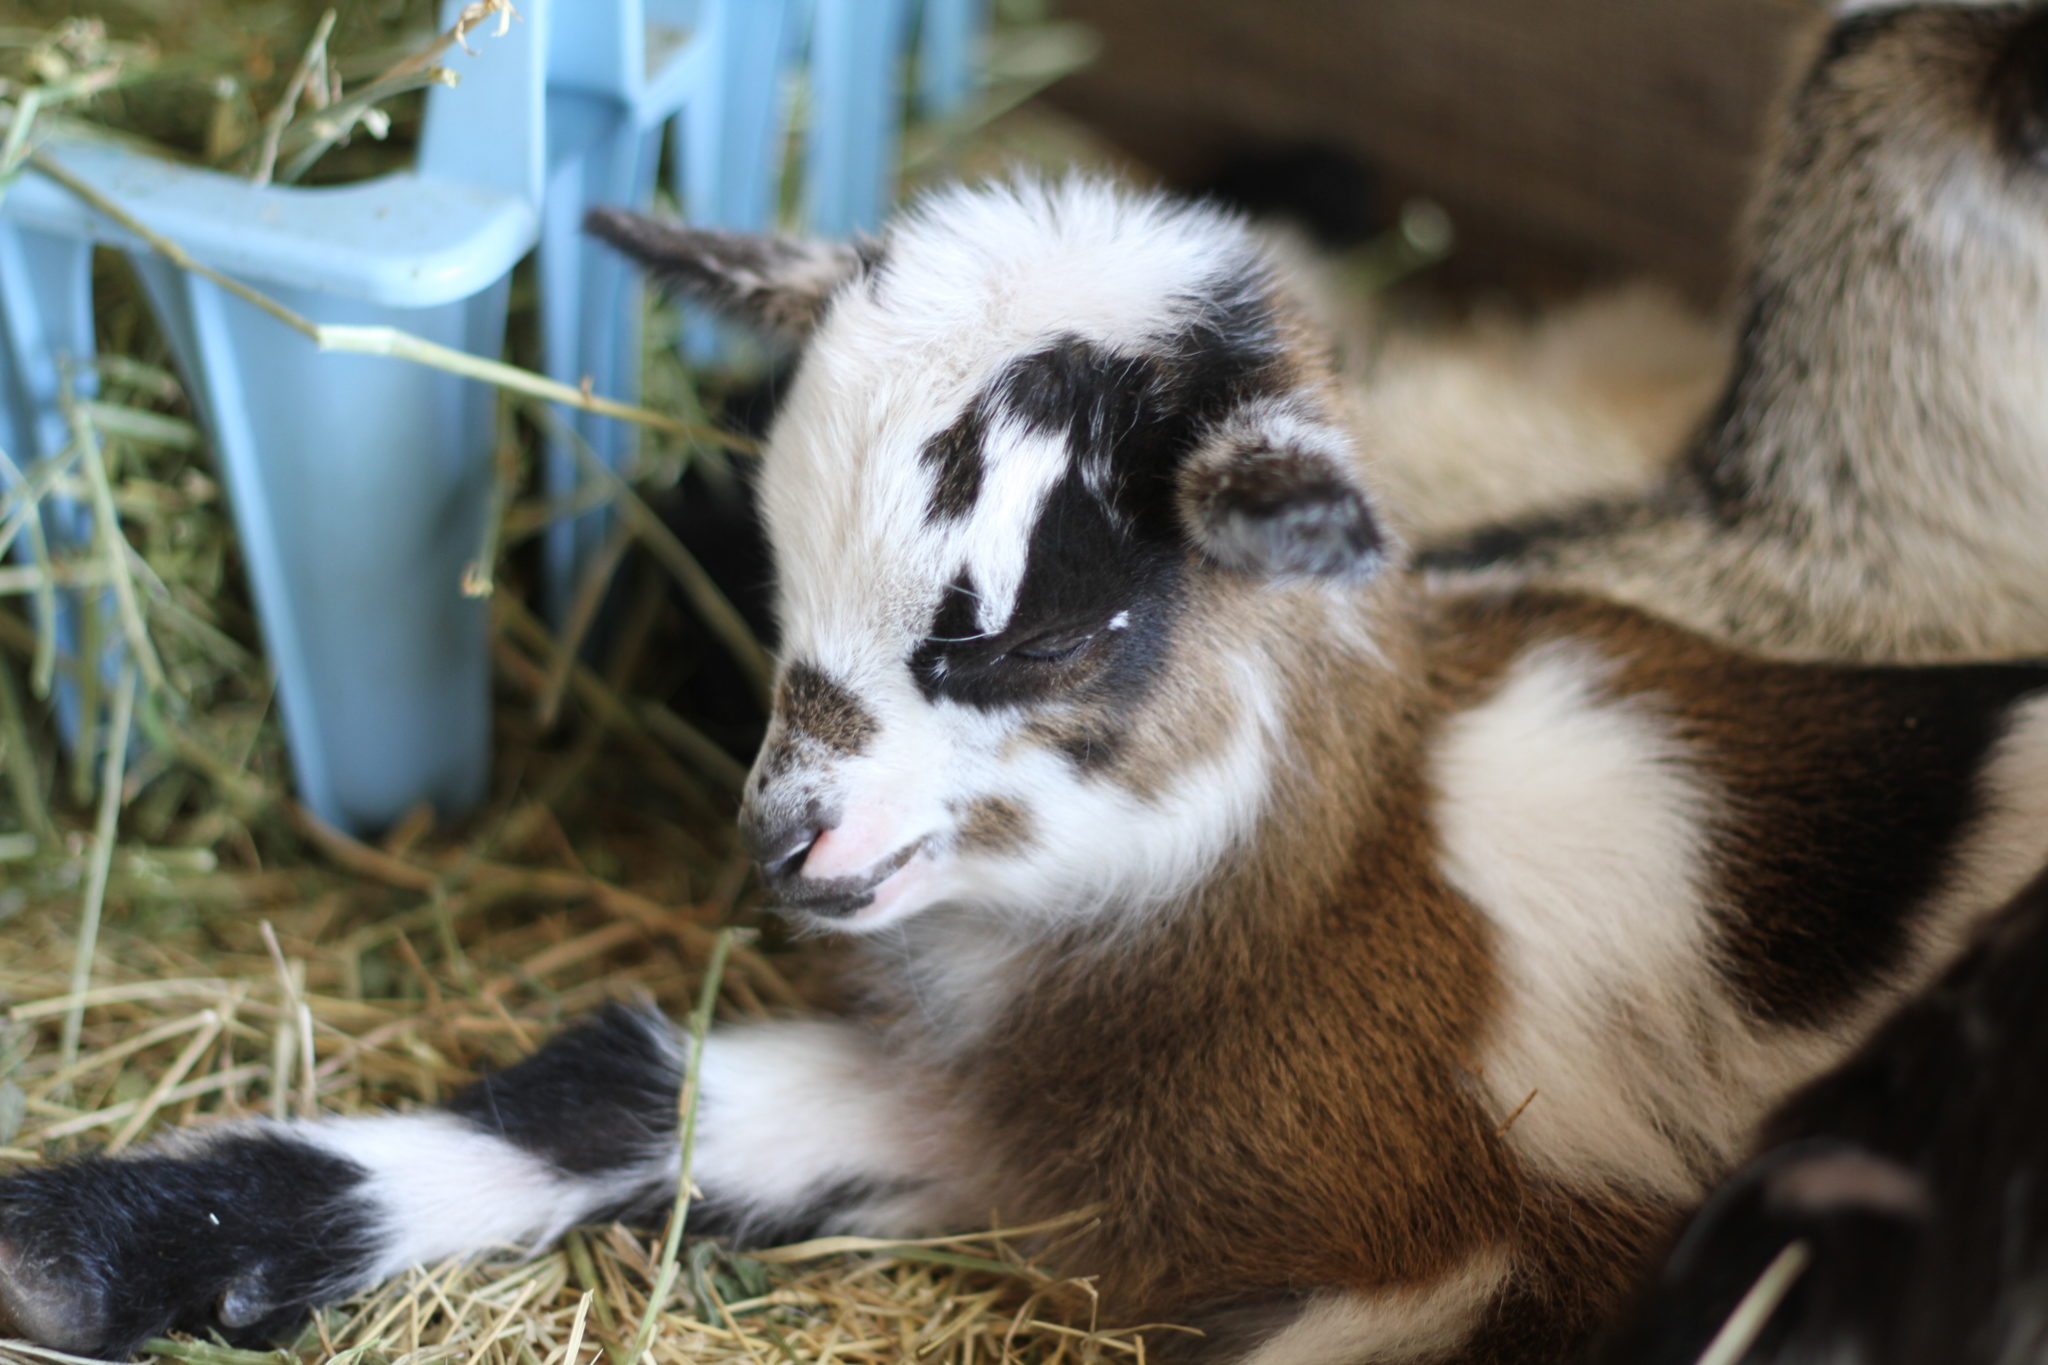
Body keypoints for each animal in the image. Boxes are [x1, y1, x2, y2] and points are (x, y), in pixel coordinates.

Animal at [7, 179, 2048, 1364]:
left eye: (1014, 629)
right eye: (764, 562)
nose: (783, 838)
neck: (1312, 894)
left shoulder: (1437, 1249)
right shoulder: (1041, 1118)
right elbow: (615, 1098)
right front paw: (75, 1251)